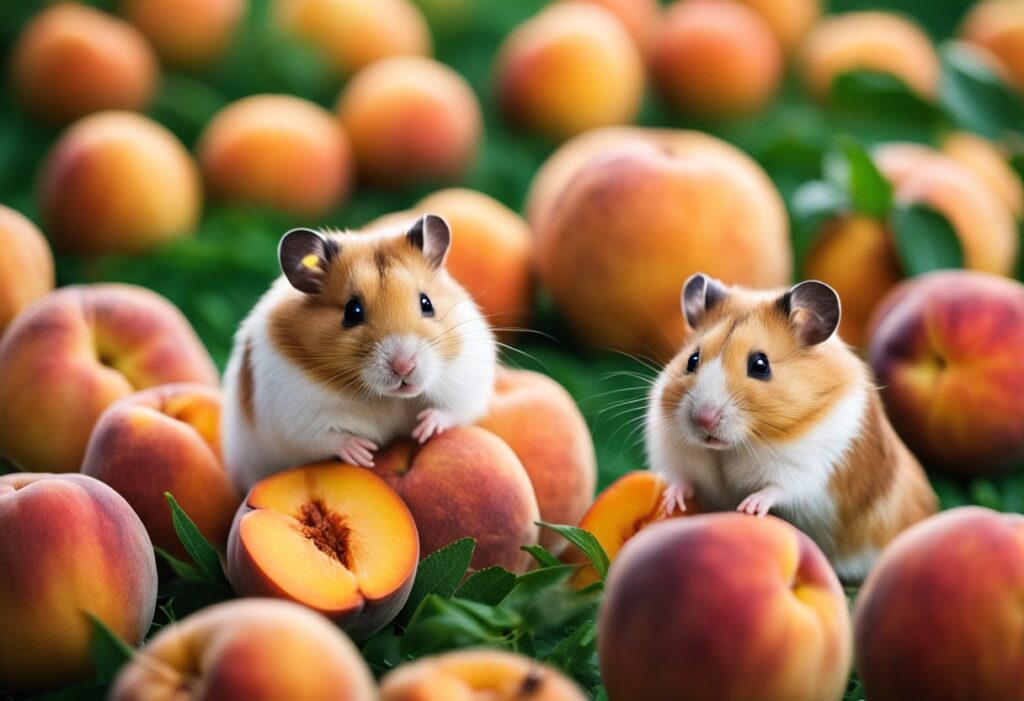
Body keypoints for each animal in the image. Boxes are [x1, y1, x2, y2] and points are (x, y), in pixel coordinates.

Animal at [222, 214, 497, 491]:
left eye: (426, 303)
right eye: (352, 312)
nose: (404, 366)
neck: (386, 398)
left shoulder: (466, 386)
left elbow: (452, 412)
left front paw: (424, 429)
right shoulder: (296, 416)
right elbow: (327, 437)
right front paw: (365, 452)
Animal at [645, 273, 936, 582]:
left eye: (760, 365)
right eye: (692, 360)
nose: (704, 420)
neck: (732, 446)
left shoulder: (805, 469)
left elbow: (778, 488)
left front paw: (748, 508)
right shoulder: (676, 455)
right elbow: (681, 477)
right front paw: (670, 500)